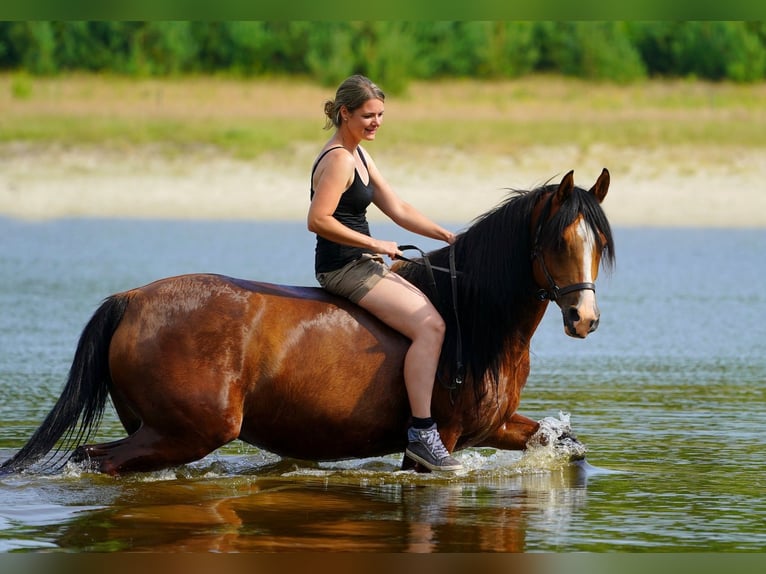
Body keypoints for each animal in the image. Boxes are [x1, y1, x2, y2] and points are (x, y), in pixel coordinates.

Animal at [0, 169, 614, 476]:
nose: (584, 318)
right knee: (99, 462)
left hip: (158, 432)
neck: (470, 317)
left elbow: (568, 446)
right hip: (187, 432)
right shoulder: (442, 441)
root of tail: (129, 299)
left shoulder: (498, 426)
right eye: (559, 241)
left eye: (598, 243)